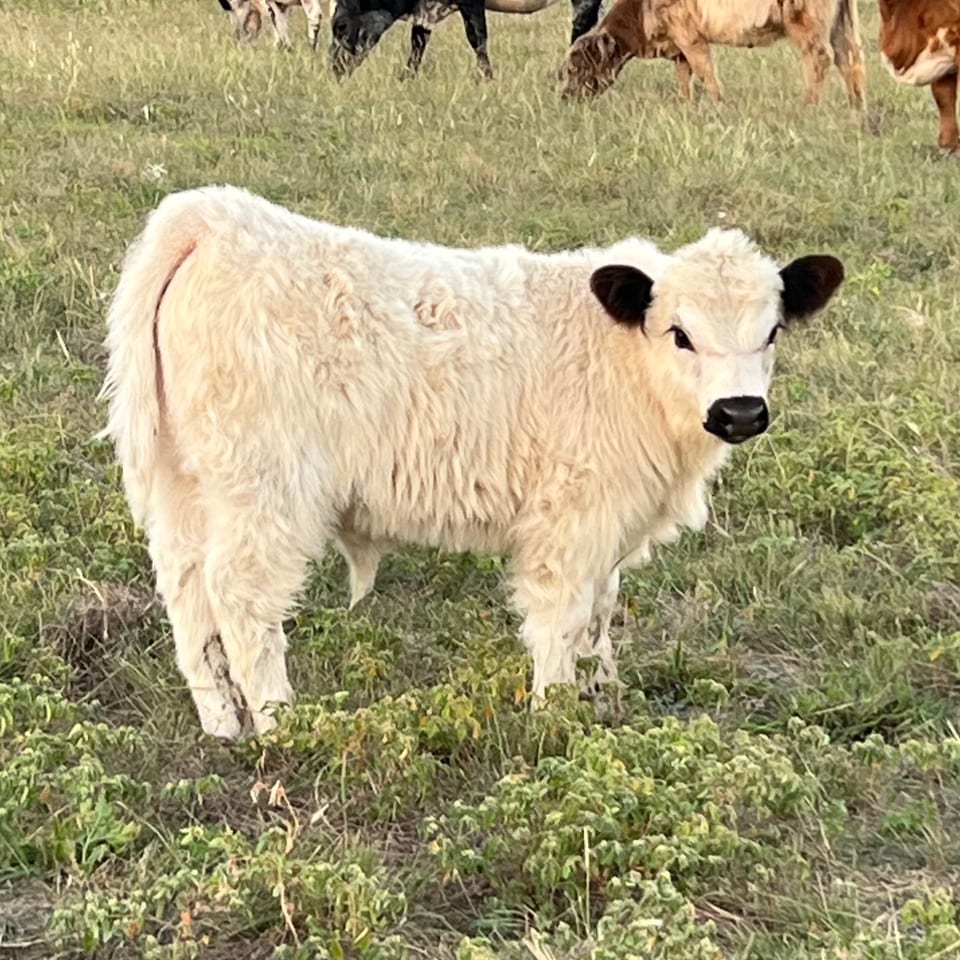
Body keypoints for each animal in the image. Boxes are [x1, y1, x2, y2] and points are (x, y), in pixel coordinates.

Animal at [99, 184, 844, 740]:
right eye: (680, 334)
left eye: (773, 331)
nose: (739, 411)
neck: (622, 359)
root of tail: (216, 218)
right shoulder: (570, 519)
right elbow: (563, 618)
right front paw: (554, 716)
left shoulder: (609, 527)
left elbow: (601, 614)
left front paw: (606, 702)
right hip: (264, 488)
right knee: (241, 595)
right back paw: (281, 722)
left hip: (185, 483)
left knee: (186, 590)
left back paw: (223, 722)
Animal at [558, 0, 866, 106]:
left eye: (574, 69)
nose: (565, 98)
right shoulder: (679, 47)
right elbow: (684, 76)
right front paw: (686, 105)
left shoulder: (689, 35)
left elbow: (705, 71)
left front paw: (718, 104)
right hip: (841, 22)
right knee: (848, 57)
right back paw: (857, 105)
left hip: (806, 21)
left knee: (819, 57)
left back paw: (809, 105)